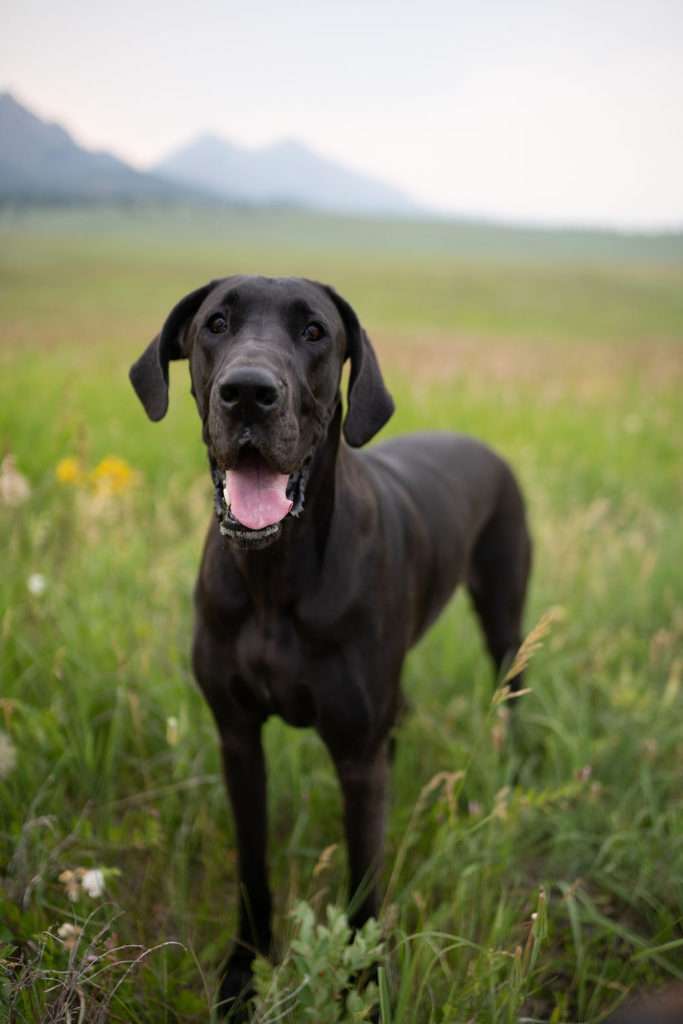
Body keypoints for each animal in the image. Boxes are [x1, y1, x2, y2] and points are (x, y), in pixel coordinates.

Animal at [129, 276, 532, 1011]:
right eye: (216, 323)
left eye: (314, 331)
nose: (249, 392)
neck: (273, 578)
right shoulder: (237, 736)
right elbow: (251, 864)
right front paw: (242, 974)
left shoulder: (356, 759)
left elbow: (365, 886)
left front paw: (364, 989)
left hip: (502, 611)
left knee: (509, 680)